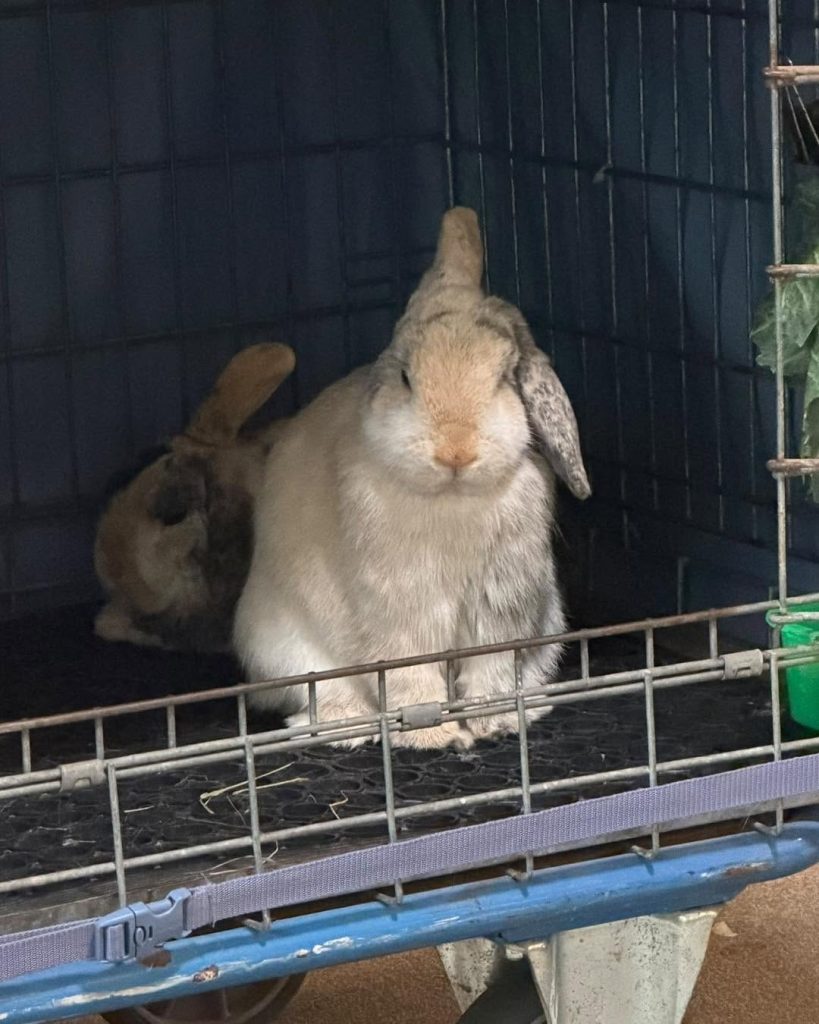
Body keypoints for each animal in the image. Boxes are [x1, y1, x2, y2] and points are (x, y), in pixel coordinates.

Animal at [234, 207, 590, 748]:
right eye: (406, 376)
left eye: (503, 378)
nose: (455, 451)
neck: (452, 496)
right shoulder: (401, 607)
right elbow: (408, 673)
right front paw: (433, 736)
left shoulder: (500, 605)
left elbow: (490, 670)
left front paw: (495, 723)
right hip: (289, 650)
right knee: (321, 692)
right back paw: (346, 727)